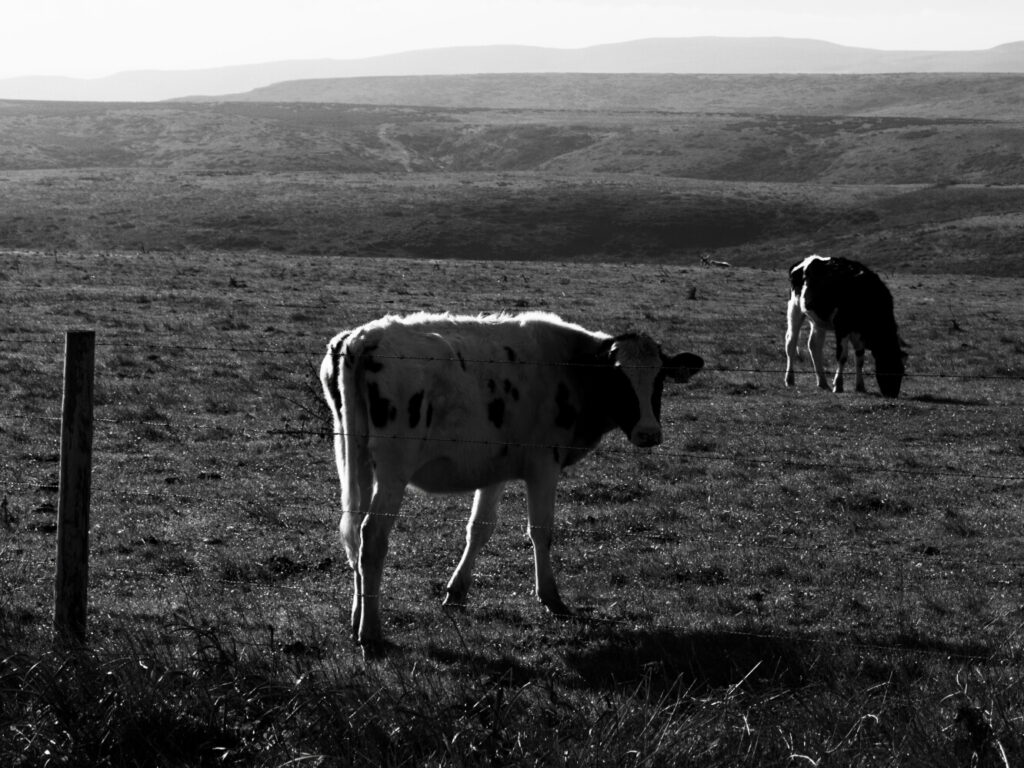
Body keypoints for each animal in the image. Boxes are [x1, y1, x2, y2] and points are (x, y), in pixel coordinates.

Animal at [320, 311, 704, 656]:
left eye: (659, 379)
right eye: (618, 379)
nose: (649, 433)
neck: (569, 367)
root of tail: (363, 338)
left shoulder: (495, 468)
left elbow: (480, 528)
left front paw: (457, 592)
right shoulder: (544, 465)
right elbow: (541, 531)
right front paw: (551, 597)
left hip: (355, 460)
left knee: (356, 536)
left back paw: (357, 619)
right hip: (393, 471)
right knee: (372, 538)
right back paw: (371, 632)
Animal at [784, 254, 906, 398]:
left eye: (901, 371)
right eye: (888, 368)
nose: (892, 394)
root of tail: (806, 260)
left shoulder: (858, 332)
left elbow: (860, 358)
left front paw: (860, 386)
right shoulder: (842, 327)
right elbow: (842, 357)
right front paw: (838, 385)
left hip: (818, 319)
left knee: (814, 346)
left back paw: (822, 382)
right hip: (794, 308)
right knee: (791, 343)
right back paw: (789, 379)